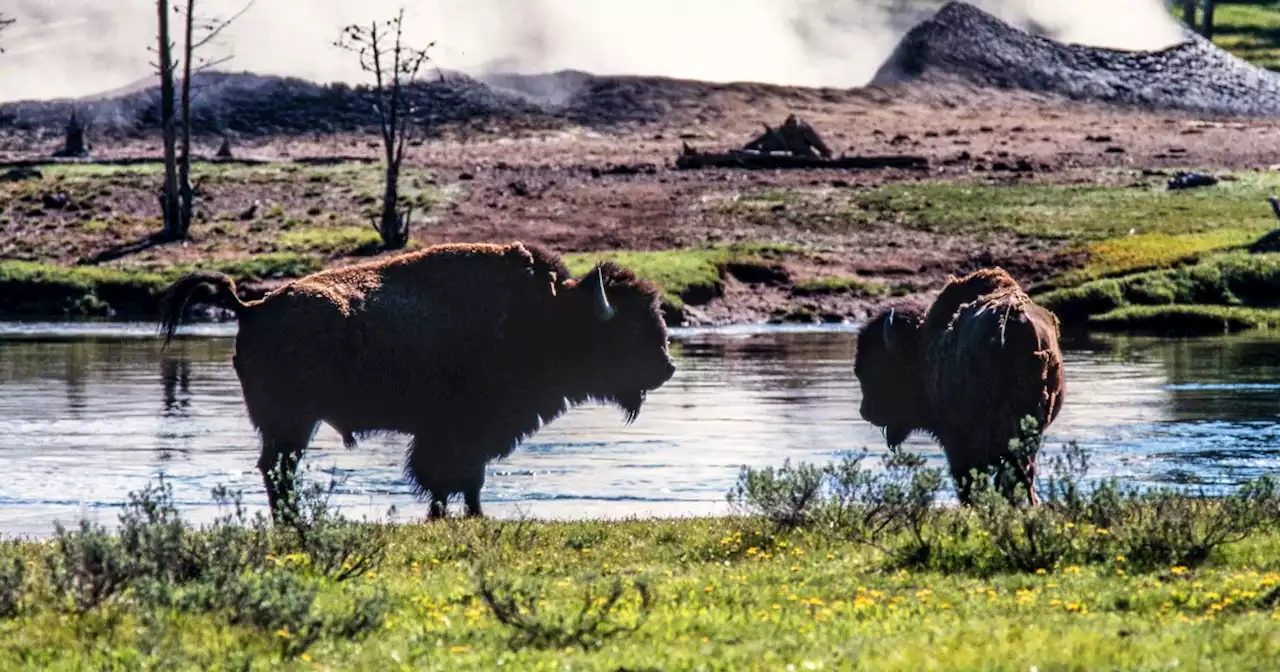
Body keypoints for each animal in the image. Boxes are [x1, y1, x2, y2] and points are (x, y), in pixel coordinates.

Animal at [157, 240, 680, 519]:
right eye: (630, 328)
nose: (667, 367)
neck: (547, 315)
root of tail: (252, 307)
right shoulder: (459, 431)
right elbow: (452, 476)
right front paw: (458, 515)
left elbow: (462, 479)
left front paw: (462, 514)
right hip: (290, 422)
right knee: (278, 470)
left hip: (287, 424)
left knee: (275, 469)